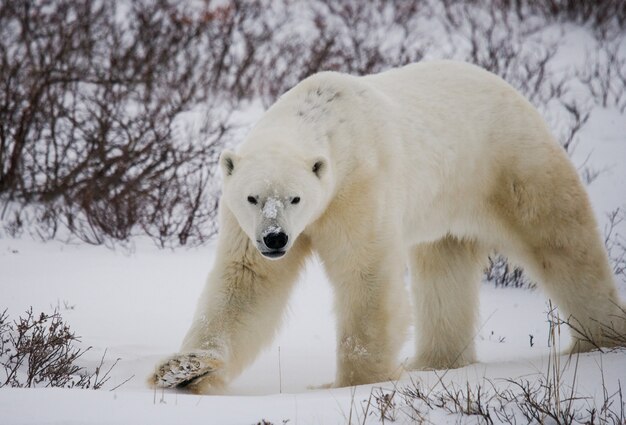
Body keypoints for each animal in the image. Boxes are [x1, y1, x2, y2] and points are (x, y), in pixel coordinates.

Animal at [151, 60, 624, 394]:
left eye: (295, 198)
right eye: (253, 198)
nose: (275, 238)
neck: (327, 117)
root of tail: (511, 89)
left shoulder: (358, 188)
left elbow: (366, 275)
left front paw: (356, 383)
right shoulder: (243, 224)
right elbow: (246, 285)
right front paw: (184, 370)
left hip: (509, 164)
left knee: (563, 242)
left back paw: (598, 342)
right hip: (445, 207)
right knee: (443, 272)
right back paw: (435, 362)